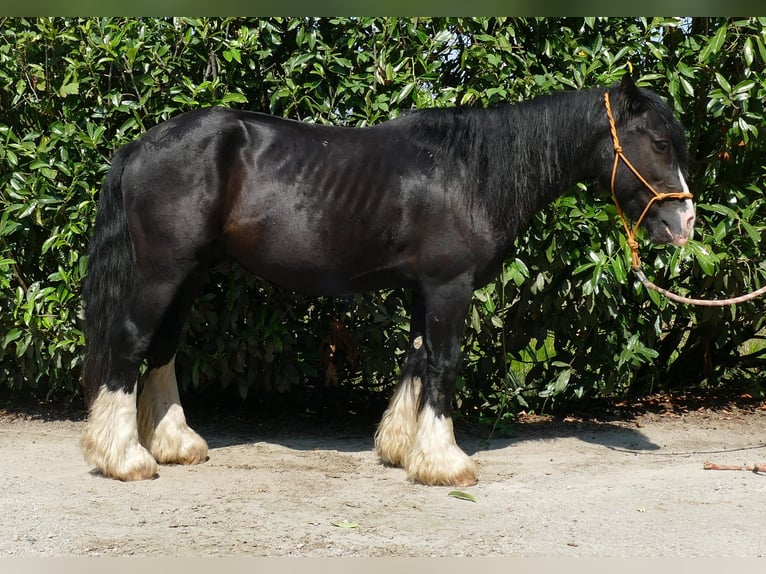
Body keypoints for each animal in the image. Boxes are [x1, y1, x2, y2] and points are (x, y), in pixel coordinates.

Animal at [82, 75, 696, 486]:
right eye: (660, 143)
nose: (684, 222)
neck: (470, 172)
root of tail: (140, 146)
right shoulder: (450, 286)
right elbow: (444, 364)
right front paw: (446, 463)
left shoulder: (424, 290)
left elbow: (418, 360)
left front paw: (404, 450)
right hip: (162, 273)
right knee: (129, 344)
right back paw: (125, 458)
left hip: (188, 275)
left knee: (162, 349)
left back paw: (175, 444)